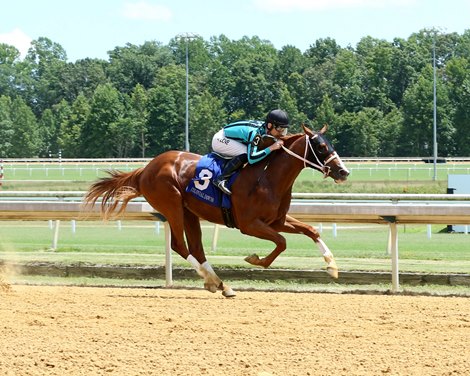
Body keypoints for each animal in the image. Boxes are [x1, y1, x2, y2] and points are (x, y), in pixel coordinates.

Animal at [83, 125, 348, 296]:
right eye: (321, 146)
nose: (343, 171)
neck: (268, 177)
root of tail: (146, 169)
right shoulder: (248, 224)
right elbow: (282, 242)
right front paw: (255, 259)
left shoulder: (276, 220)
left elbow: (311, 230)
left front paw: (332, 267)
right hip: (171, 205)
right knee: (179, 245)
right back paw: (212, 280)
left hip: (189, 212)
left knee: (196, 248)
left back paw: (221, 285)